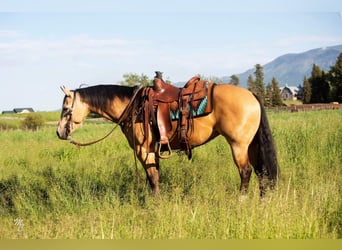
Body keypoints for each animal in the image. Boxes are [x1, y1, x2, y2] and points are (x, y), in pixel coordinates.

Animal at [56, 75, 278, 196]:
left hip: (238, 144)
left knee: (246, 172)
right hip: (251, 144)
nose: (59, 132)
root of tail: (251, 95)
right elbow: (154, 177)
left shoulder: (144, 151)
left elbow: (153, 178)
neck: (133, 107)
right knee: (261, 173)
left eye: (66, 108)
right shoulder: (153, 151)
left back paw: (241, 201)